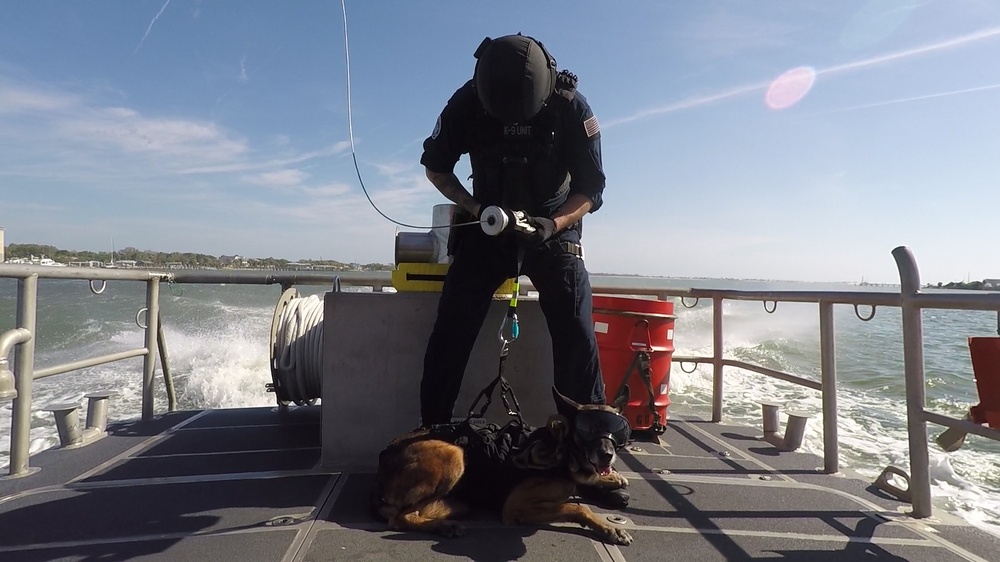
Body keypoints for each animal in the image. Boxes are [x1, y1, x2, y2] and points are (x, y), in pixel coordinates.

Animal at [368, 384, 632, 544]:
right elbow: (577, 508)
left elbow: (585, 485)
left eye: (617, 431)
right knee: (399, 518)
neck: (561, 448)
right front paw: (609, 528)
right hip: (455, 454)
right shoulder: (515, 506)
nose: (607, 455)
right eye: (588, 429)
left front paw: (611, 479)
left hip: (458, 501)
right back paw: (444, 527)